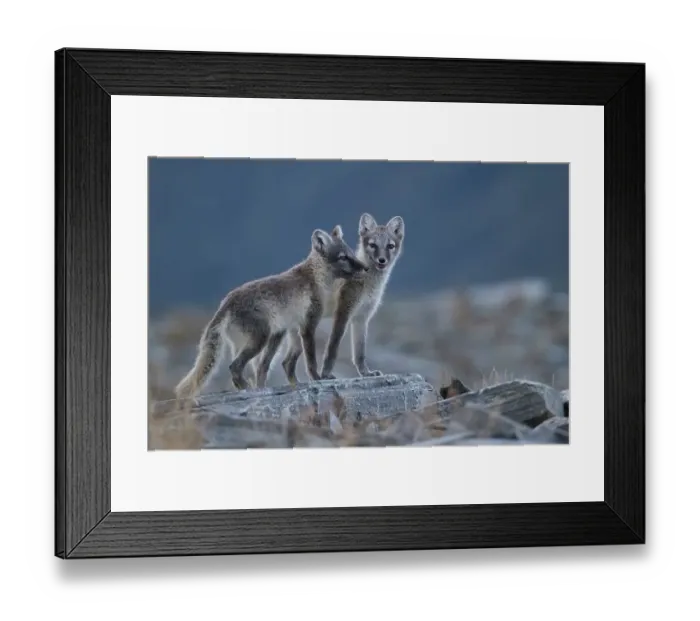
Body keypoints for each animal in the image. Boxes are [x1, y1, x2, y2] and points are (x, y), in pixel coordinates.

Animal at [173, 225, 368, 401]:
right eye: (343, 257)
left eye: (352, 253)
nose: (366, 268)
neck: (316, 277)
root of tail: (226, 303)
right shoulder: (308, 325)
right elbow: (311, 360)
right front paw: (317, 379)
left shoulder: (289, 329)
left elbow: (281, 363)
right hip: (260, 338)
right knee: (234, 367)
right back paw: (248, 389)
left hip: (259, 340)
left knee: (253, 367)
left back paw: (251, 388)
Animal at [279, 213, 405, 384]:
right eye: (372, 245)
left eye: (390, 246)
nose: (382, 260)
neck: (368, 282)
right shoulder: (343, 313)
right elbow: (333, 347)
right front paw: (326, 374)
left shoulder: (362, 318)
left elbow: (360, 353)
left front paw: (366, 373)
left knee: (287, 363)